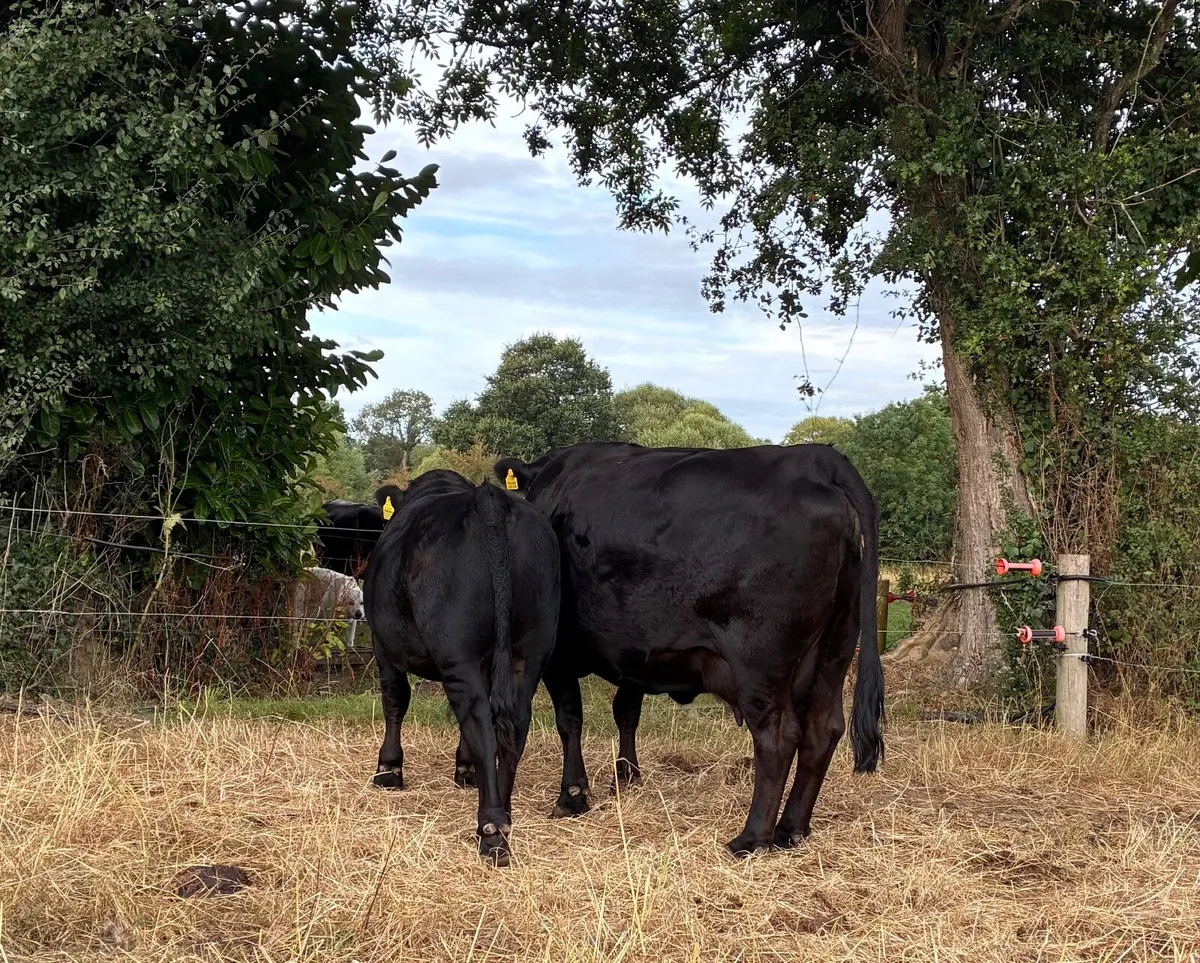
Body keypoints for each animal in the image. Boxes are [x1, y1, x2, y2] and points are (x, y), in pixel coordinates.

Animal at [362, 469, 560, 866]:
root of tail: (489, 500)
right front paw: (466, 769)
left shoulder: (381, 641)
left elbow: (395, 699)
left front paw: (389, 769)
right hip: (533, 648)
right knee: (514, 722)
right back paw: (504, 811)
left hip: (457, 650)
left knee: (479, 720)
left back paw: (491, 830)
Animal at [491, 441, 885, 857]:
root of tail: (817, 458)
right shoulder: (634, 653)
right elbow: (625, 712)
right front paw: (626, 777)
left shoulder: (557, 654)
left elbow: (570, 720)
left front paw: (572, 796)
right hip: (835, 648)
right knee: (822, 731)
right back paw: (791, 830)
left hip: (760, 662)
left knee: (778, 738)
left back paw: (751, 838)